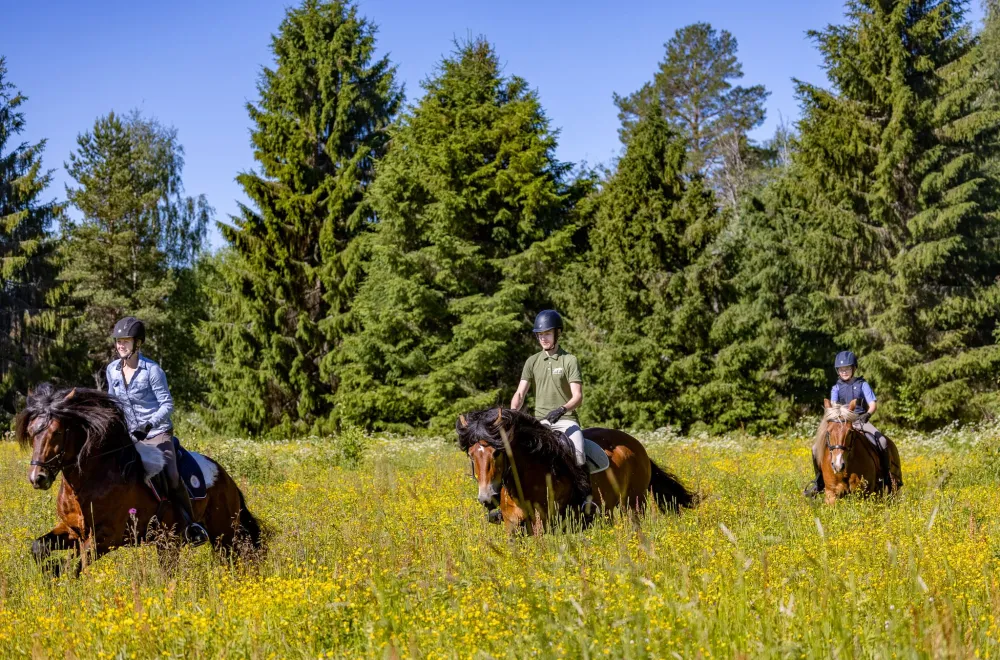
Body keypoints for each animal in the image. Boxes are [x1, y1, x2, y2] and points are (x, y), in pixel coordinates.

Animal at [14, 384, 262, 576]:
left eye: (56, 432)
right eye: (31, 431)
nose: (38, 478)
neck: (91, 481)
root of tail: (226, 477)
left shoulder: (106, 538)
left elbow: (73, 566)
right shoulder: (72, 530)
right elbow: (39, 548)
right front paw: (50, 570)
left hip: (223, 533)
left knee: (237, 558)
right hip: (168, 541)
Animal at [456, 408, 696, 532]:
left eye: (497, 452)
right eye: (471, 454)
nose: (486, 498)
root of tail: (637, 445)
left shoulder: (543, 522)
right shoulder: (512, 525)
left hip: (634, 503)